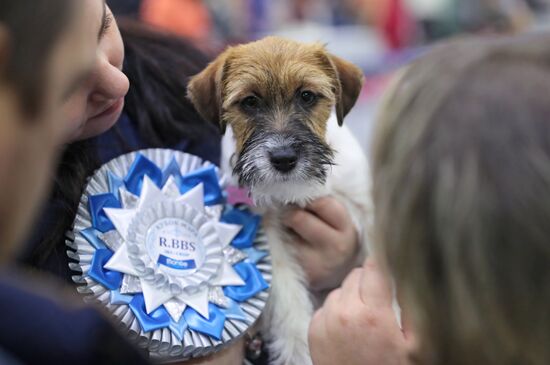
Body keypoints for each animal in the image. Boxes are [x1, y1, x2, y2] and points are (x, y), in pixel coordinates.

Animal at [188, 34, 374, 364]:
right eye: (249, 102)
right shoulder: (267, 233)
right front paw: (299, 350)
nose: (284, 158)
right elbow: (287, 296)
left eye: (307, 96)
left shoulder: (365, 205)